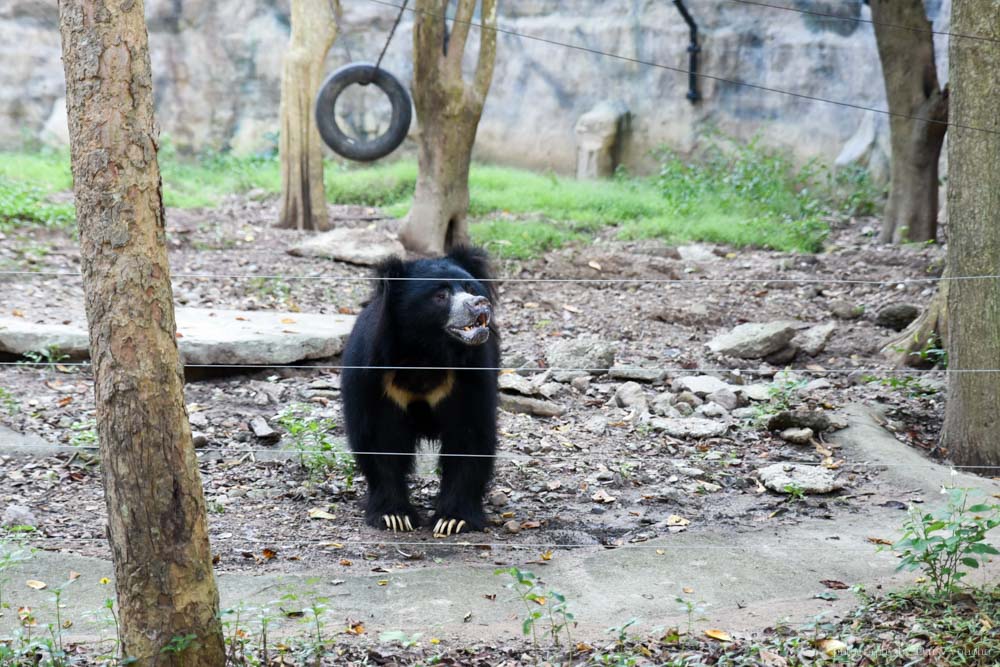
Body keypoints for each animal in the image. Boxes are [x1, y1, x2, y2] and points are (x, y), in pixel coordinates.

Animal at [342, 247, 500, 536]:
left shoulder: (471, 375)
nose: (480, 303)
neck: (425, 353)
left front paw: (452, 520)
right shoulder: (374, 376)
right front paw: (394, 516)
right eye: (440, 295)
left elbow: (469, 437)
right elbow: (380, 440)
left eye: (470, 287)